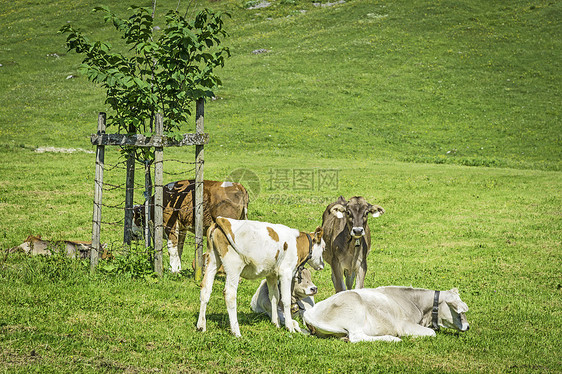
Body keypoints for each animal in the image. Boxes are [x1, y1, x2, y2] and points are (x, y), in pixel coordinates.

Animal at [196, 216, 324, 336]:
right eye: (323, 248)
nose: (322, 265)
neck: (296, 242)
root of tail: (222, 219)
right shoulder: (286, 272)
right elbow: (286, 299)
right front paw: (289, 327)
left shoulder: (271, 274)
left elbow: (274, 296)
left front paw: (275, 323)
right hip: (233, 267)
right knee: (229, 294)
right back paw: (236, 332)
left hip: (212, 260)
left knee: (205, 289)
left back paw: (201, 326)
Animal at [302, 286, 468, 342]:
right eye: (458, 311)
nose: (467, 327)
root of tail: (310, 313)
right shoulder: (404, 325)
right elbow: (431, 333)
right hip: (354, 308)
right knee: (356, 337)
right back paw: (392, 338)